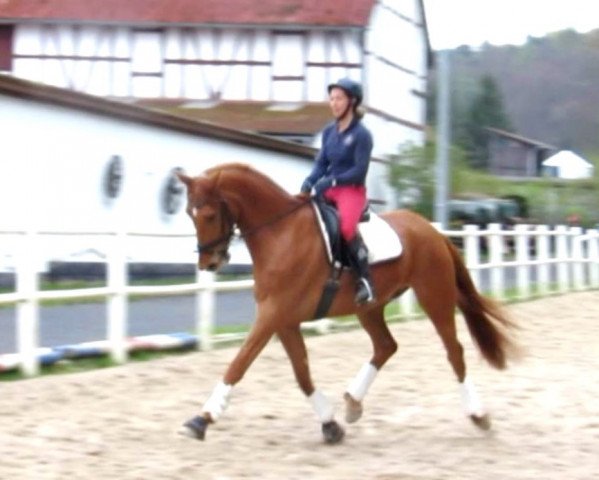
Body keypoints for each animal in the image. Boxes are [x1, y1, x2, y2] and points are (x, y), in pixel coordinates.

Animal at [177, 163, 516, 444]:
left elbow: (239, 364)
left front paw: (201, 419)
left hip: (435, 295)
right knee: (386, 346)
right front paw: (330, 424)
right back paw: (353, 402)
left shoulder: (272, 315)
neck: (280, 234)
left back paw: (478, 415)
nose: (209, 263)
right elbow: (302, 373)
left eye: (208, 215)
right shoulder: (284, 320)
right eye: (190, 214)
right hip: (370, 308)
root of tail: (432, 230)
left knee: (454, 351)